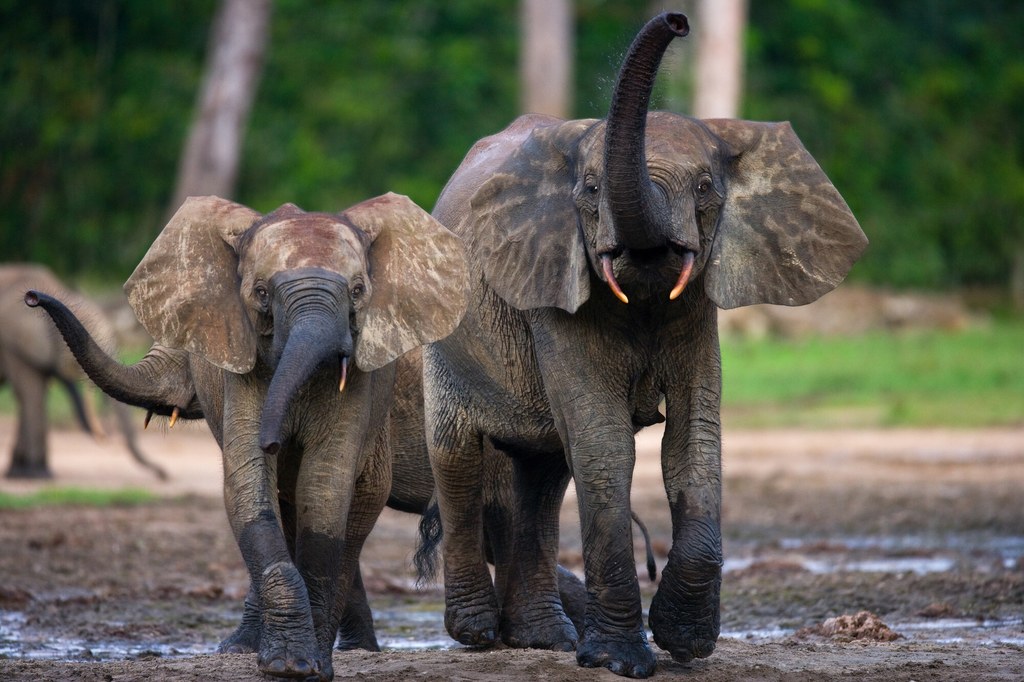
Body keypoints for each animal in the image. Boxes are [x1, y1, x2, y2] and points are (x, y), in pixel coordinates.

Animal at [1, 262, 165, 481]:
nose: (164, 475)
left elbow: (34, 394)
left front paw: (29, 472)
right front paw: (36, 474)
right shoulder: (13, 344)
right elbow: (30, 394)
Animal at [28, 192, 468, 679]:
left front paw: (305, 665)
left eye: (357, 291)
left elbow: (325, 486)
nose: (32, 297)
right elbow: (251, 486)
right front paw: (275, 660)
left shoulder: (363, 385)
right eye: (261, 294)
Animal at [419, 10, 868, 675]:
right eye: (590, 189)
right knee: (458, 459)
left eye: (706, 186)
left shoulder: (697, 310)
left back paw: (545, 638)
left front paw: (685, 642)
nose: (678, 22)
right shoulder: (555, 291)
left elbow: (694, 443)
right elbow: (607, 448)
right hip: (444, 340)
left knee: (543, 477)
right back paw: (476, 634)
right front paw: (623, 661)